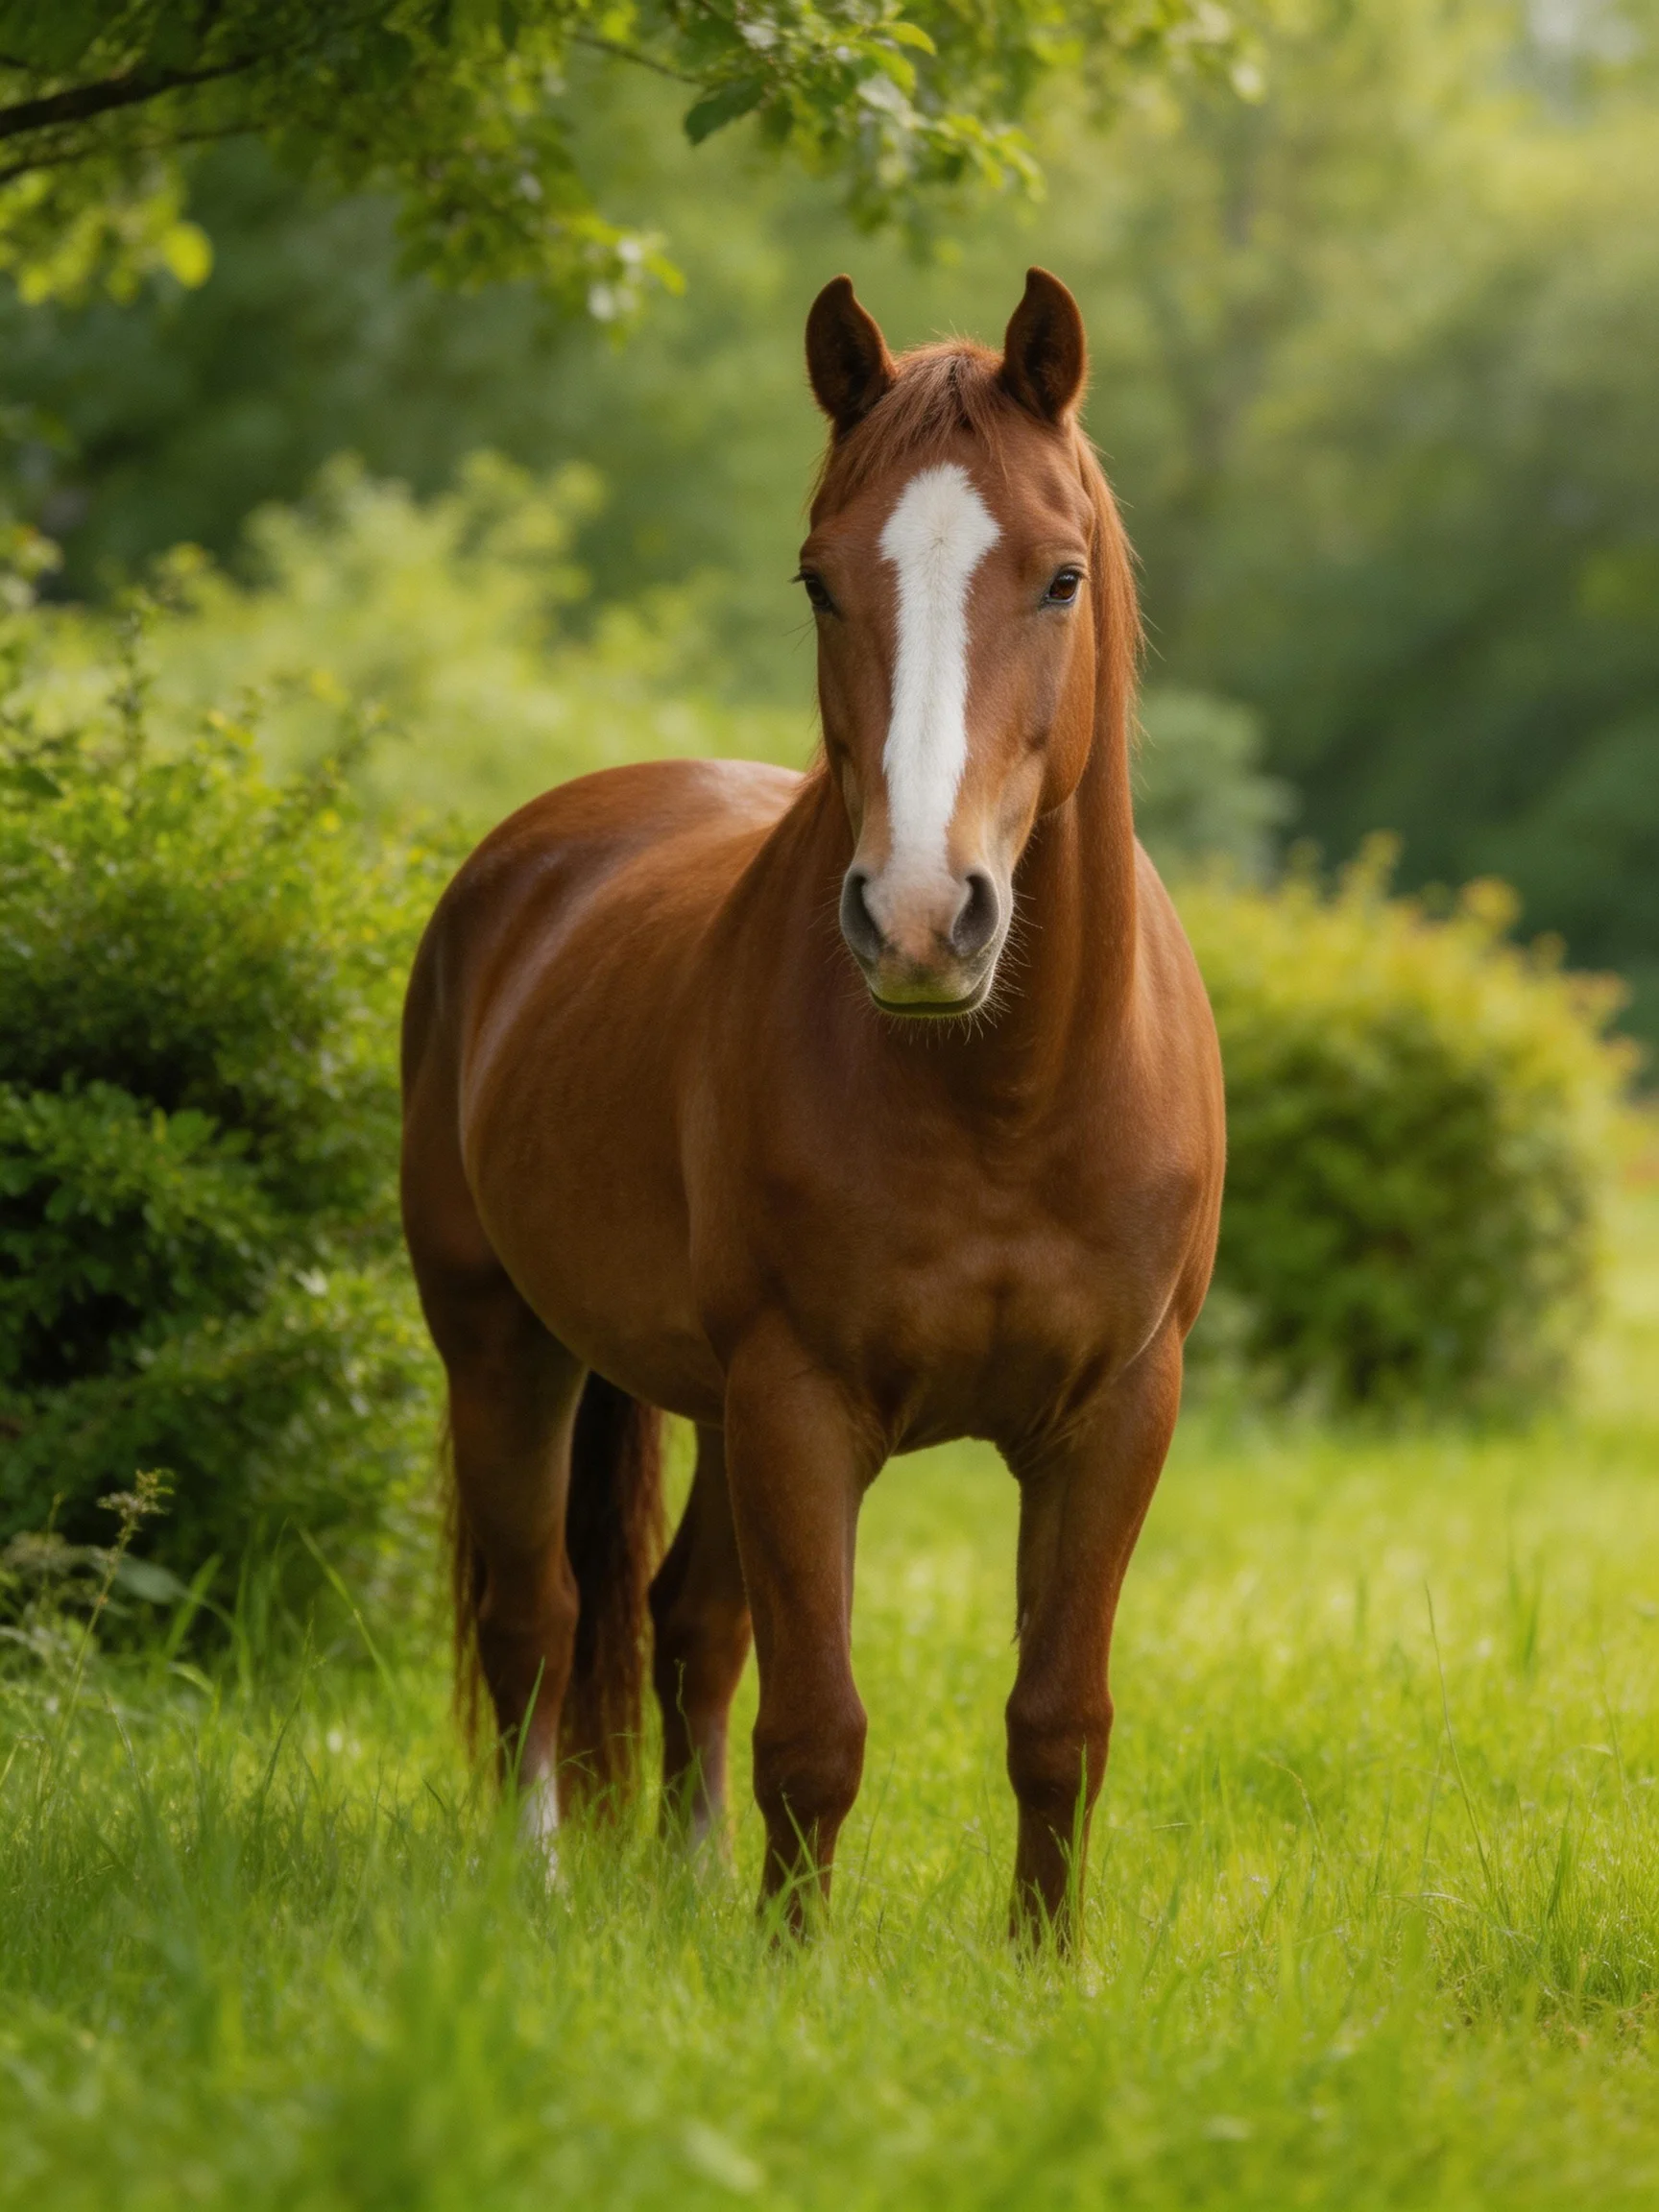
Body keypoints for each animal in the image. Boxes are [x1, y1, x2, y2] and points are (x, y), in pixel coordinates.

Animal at [400, 267, 1225, 1941]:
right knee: (537, 1618)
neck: (1005, 1101)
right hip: (502, 1341)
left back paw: (690, 1880)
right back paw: (543, 1886)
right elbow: (817, 1731)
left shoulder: (1118, 1413)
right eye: (818, 582)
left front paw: (1043, 1971)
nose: (919, 918)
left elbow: (1058, 1724)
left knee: (687, 1621)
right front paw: (792, 1969)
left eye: (1059, 578)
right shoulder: (800, 1400)